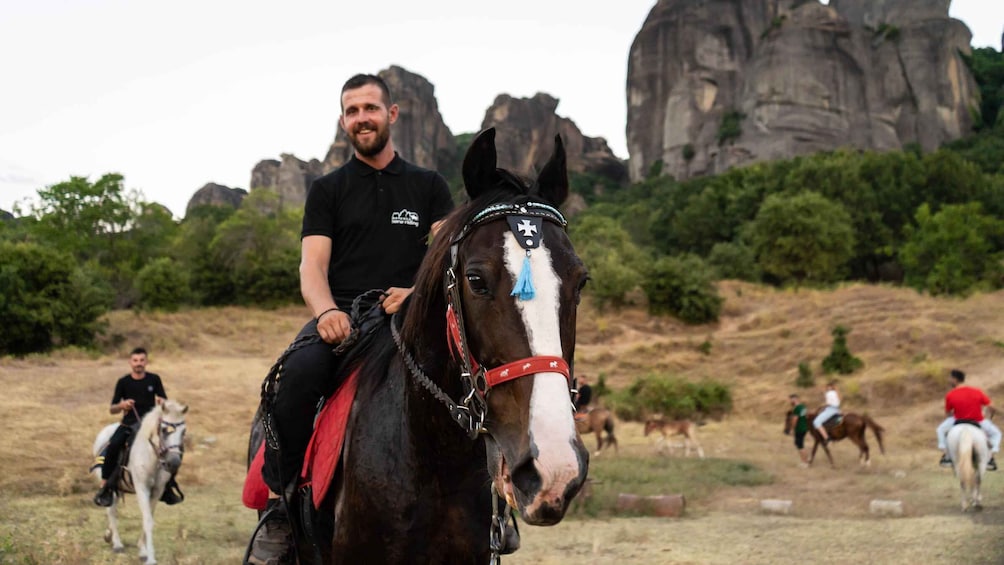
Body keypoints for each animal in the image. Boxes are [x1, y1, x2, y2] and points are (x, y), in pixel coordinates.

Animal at [92, 399, 188, 561]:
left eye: (184, 432)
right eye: (164, 430)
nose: (174, 462)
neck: (152, 457)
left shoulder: (157, 490)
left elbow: (149, 516)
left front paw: (143, 550)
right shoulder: (142, 488)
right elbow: (148, 520)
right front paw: (150, 557)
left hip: (119, 488)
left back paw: (108, 536)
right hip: (109, 487)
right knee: (111, 510)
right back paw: (117, 544)